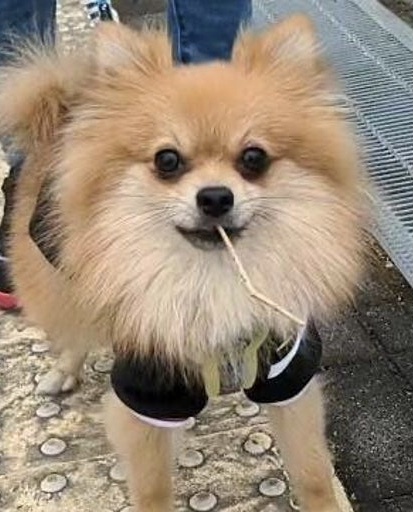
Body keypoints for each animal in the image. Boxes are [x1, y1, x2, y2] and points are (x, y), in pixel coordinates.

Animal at [0, 15, 365, 512]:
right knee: (75, 330)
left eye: (254, 158)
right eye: (167, 160)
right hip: (63, 286)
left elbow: (311, 473)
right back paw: (62, 372)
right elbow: (153, 487)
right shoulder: (144, 391)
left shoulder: (287, 374)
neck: (211, 278)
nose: (214, 197)